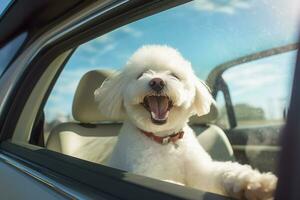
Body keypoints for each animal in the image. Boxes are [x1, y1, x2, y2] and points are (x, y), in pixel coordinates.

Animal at [95, 45, 278, 200]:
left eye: (174, 75)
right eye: (141, 74)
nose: (157, 81)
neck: (166, 140)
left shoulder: (201, 170)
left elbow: (223, 171)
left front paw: (254, 182)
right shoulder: (149, 173)